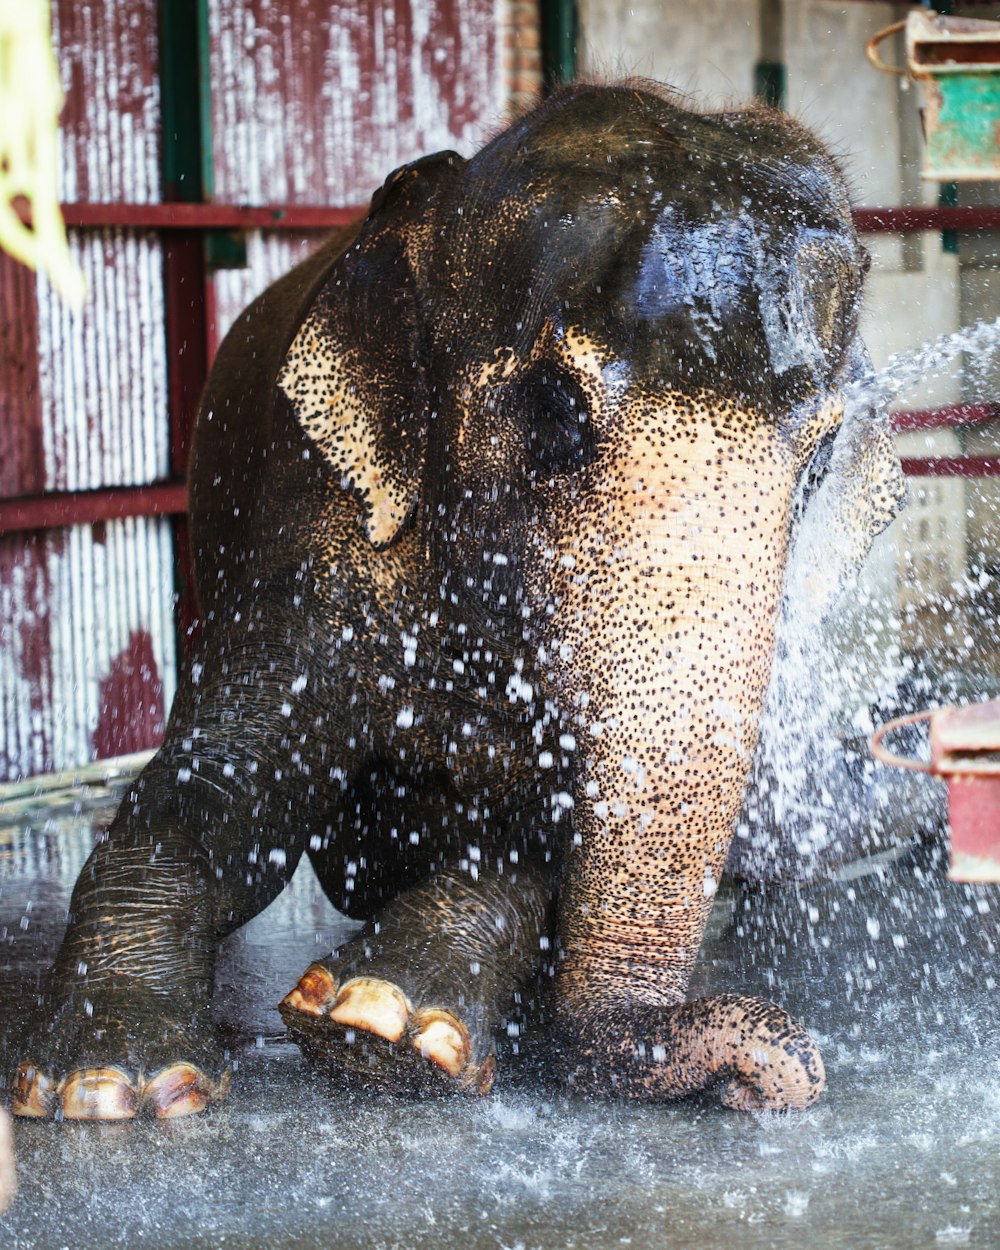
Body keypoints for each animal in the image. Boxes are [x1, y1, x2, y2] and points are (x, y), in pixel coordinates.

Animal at [7, 83, 900, 1120]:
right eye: (552, 408)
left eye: (822, 460)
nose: (765, 1075)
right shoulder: (314, 510)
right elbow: (229, 783)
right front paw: (103, 1083)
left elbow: (534, 834)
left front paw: (379, 1027)